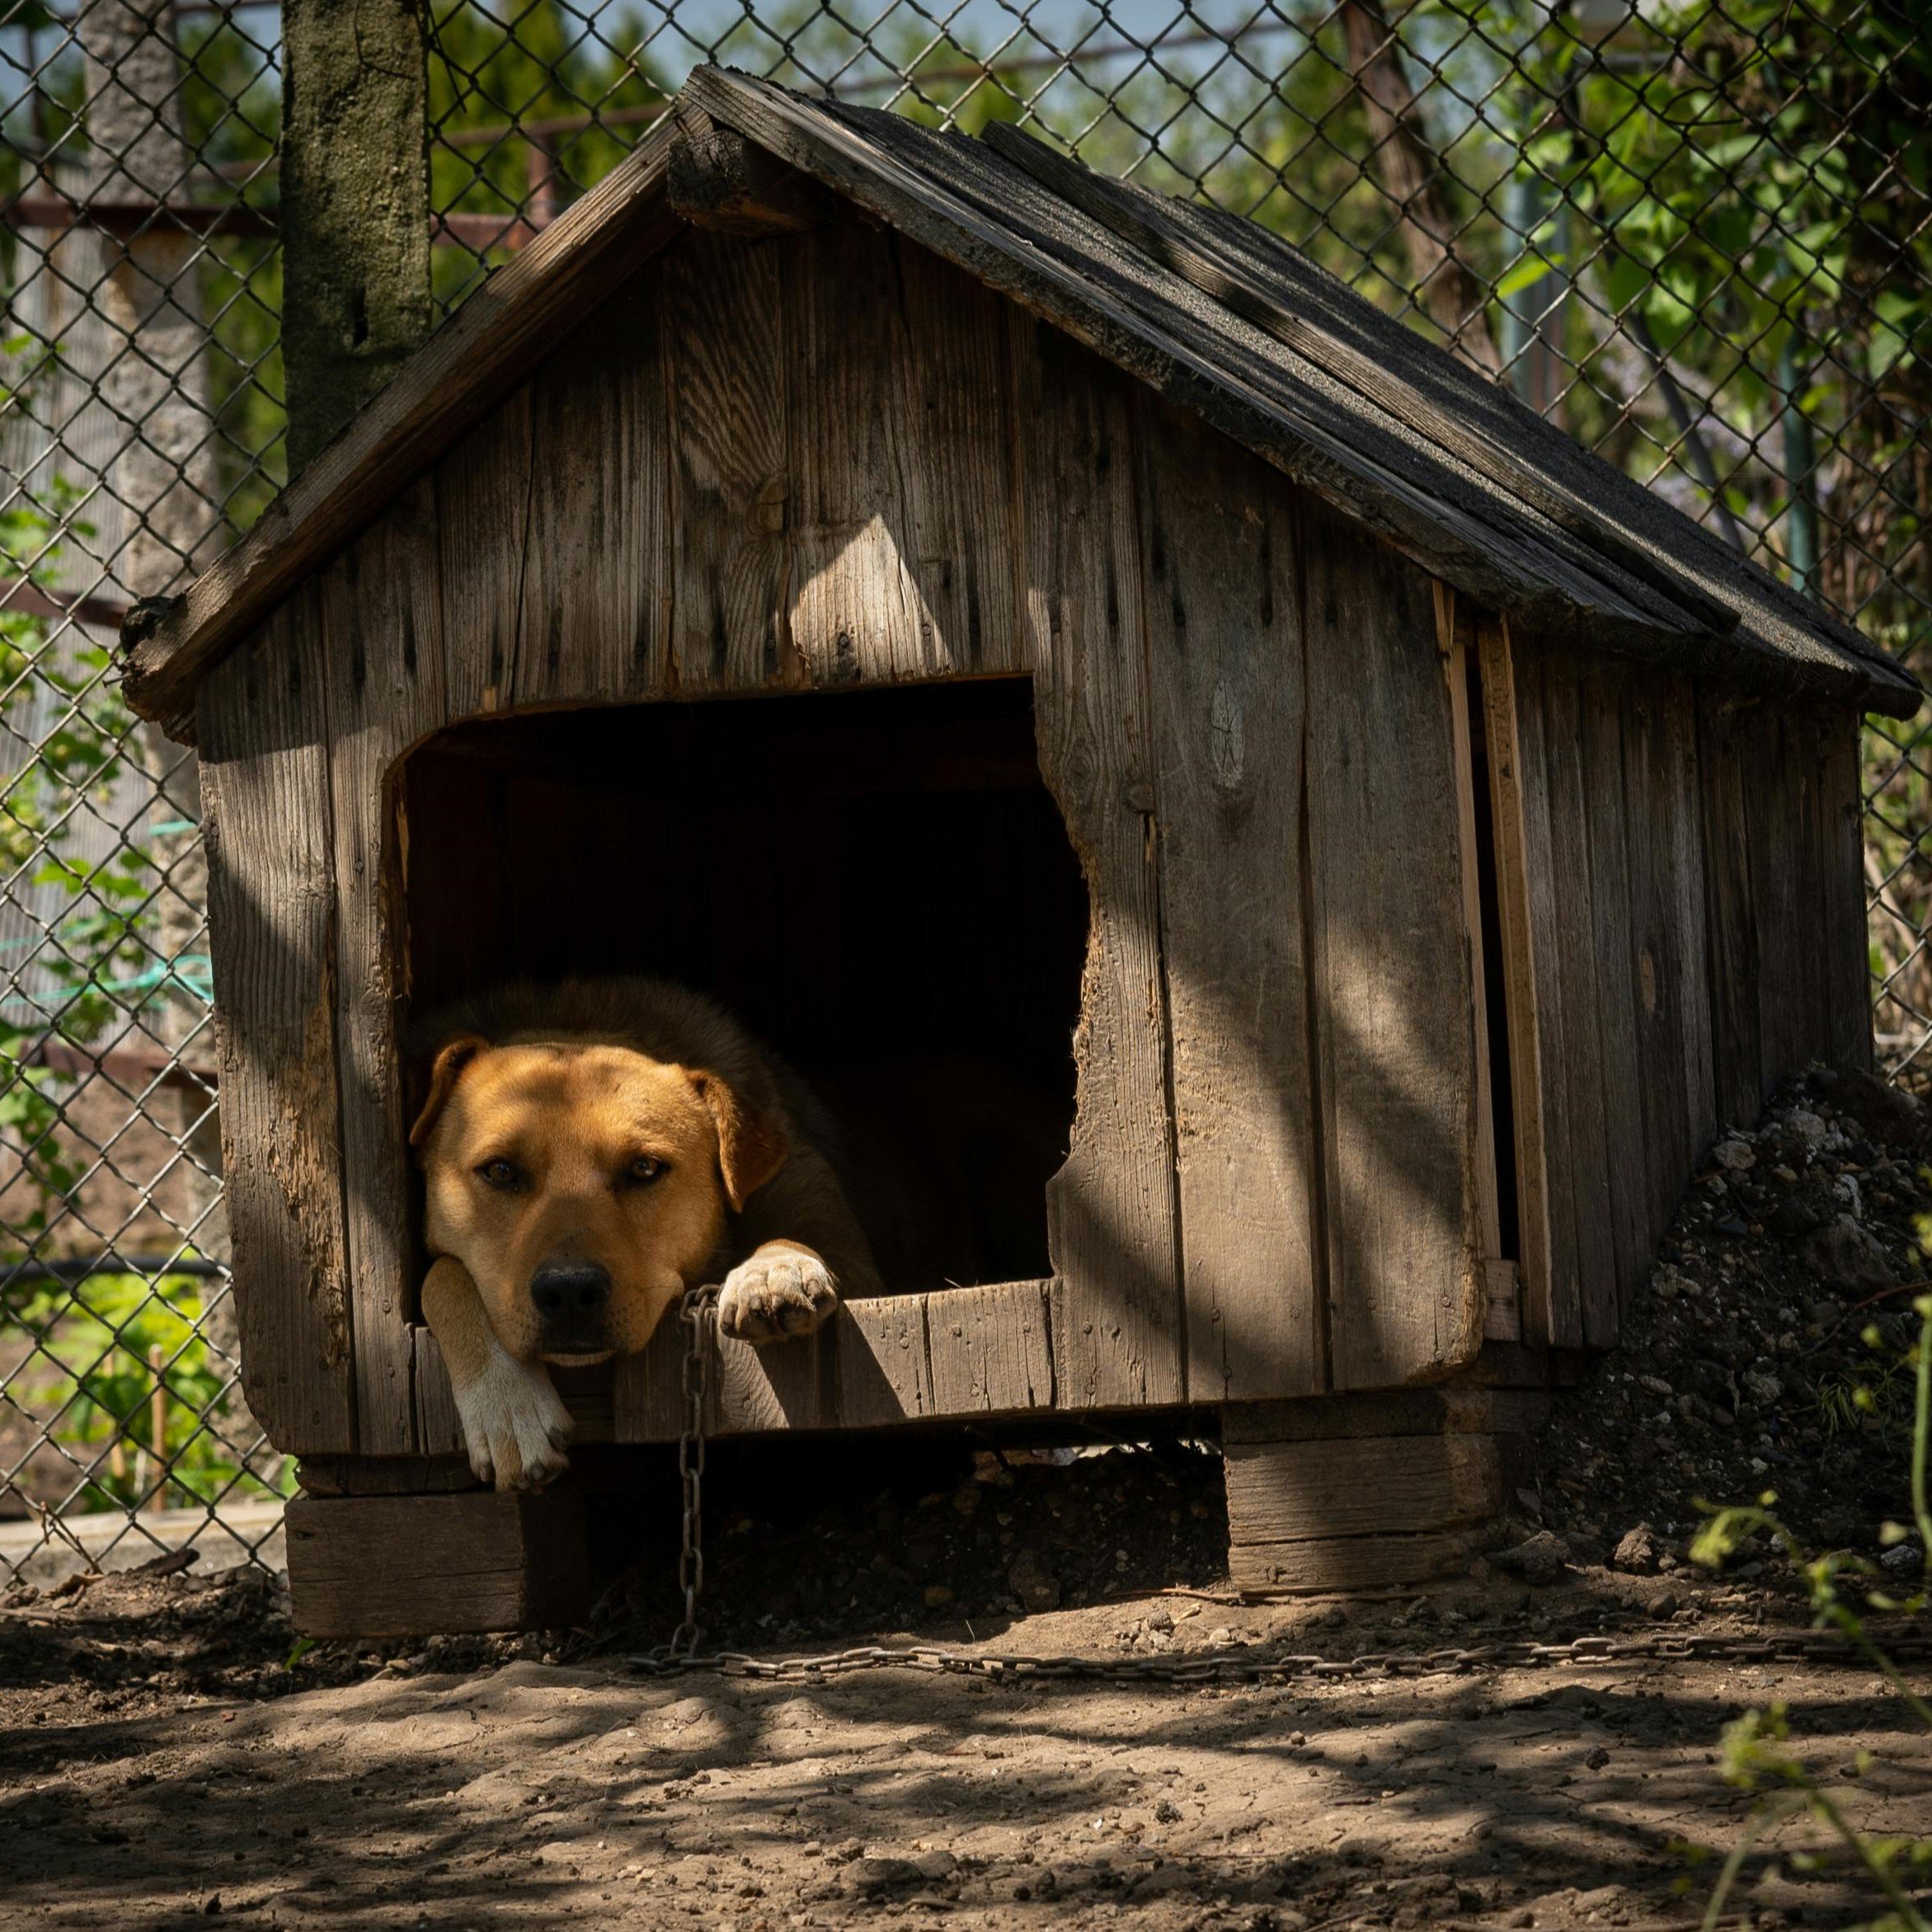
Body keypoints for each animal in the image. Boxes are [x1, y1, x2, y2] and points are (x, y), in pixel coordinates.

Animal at [419, 981, 885, 1491]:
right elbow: (441, 1276)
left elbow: (802, 1237)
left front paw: (772, 1269)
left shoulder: (848, 1252)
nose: (569, 1291)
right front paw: (507, 1404)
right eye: (500, 1171)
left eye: (644, 1168)